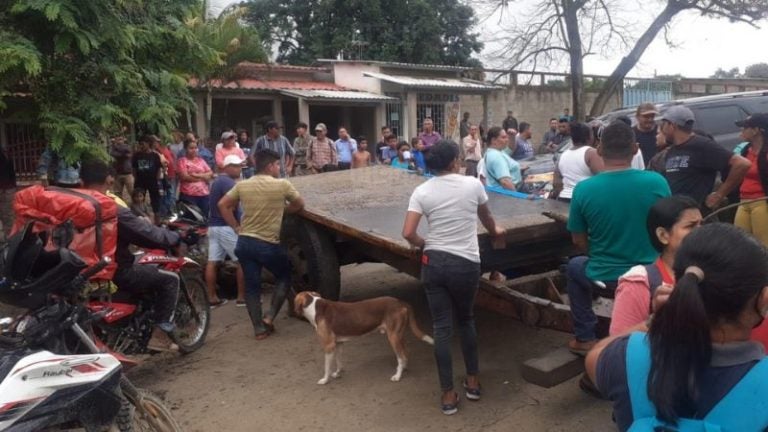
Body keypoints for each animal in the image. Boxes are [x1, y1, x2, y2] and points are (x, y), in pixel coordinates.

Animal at [292, 290, 432, 384]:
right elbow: (339, 361)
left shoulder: (328, 345)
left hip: (393, 337)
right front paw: (338, 373)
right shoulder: (338, 344)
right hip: (398, 335)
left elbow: (327, 367)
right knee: (405, 353)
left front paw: (325, 379)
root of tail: (400, 302)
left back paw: (397, 376)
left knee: (401, 356)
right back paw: (404, 369)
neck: (314, 306)